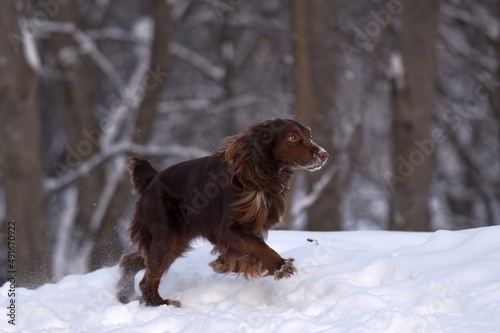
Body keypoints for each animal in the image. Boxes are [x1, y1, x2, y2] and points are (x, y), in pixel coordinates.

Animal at [116, 117, 328, 306]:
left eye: (309, 135)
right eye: (293, 137)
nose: (324, 154)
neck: (259, 174)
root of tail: (153, 179)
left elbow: (251, 246)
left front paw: (227, 262)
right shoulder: (228, 229)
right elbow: (257, 244)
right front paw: (280, 266)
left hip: (175, 240)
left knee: (132, 260)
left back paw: (125, 296)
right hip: (167, 236)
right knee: (147, 280)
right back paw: (161, 304)